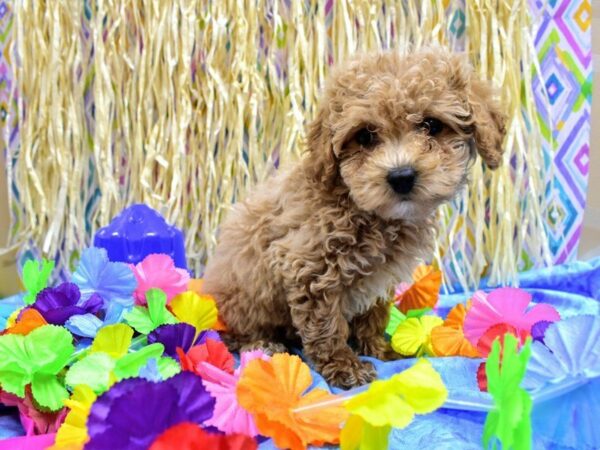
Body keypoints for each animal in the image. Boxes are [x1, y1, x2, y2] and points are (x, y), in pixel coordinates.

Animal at [203, 48, 506, 386]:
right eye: (365, 136)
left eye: (431, 124)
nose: (401, 176)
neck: (361, 207)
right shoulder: (307, 267)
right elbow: (326, 324)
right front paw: (344, 364)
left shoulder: (379, 278)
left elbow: (373, 314)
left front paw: (377, 348)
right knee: (229, 335)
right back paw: (263, 344)